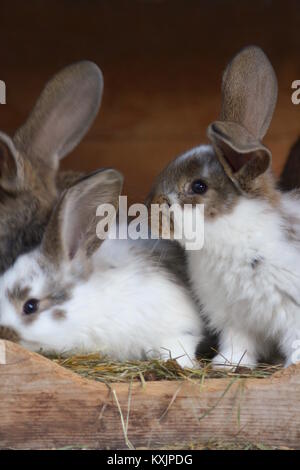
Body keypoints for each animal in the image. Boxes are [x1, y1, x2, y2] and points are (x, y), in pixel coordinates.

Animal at [147, 45, 300, 368]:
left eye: (198, 186)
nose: (151, 210)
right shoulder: (236, 318)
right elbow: (237, 343)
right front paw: (228, 365)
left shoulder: (292, 313)